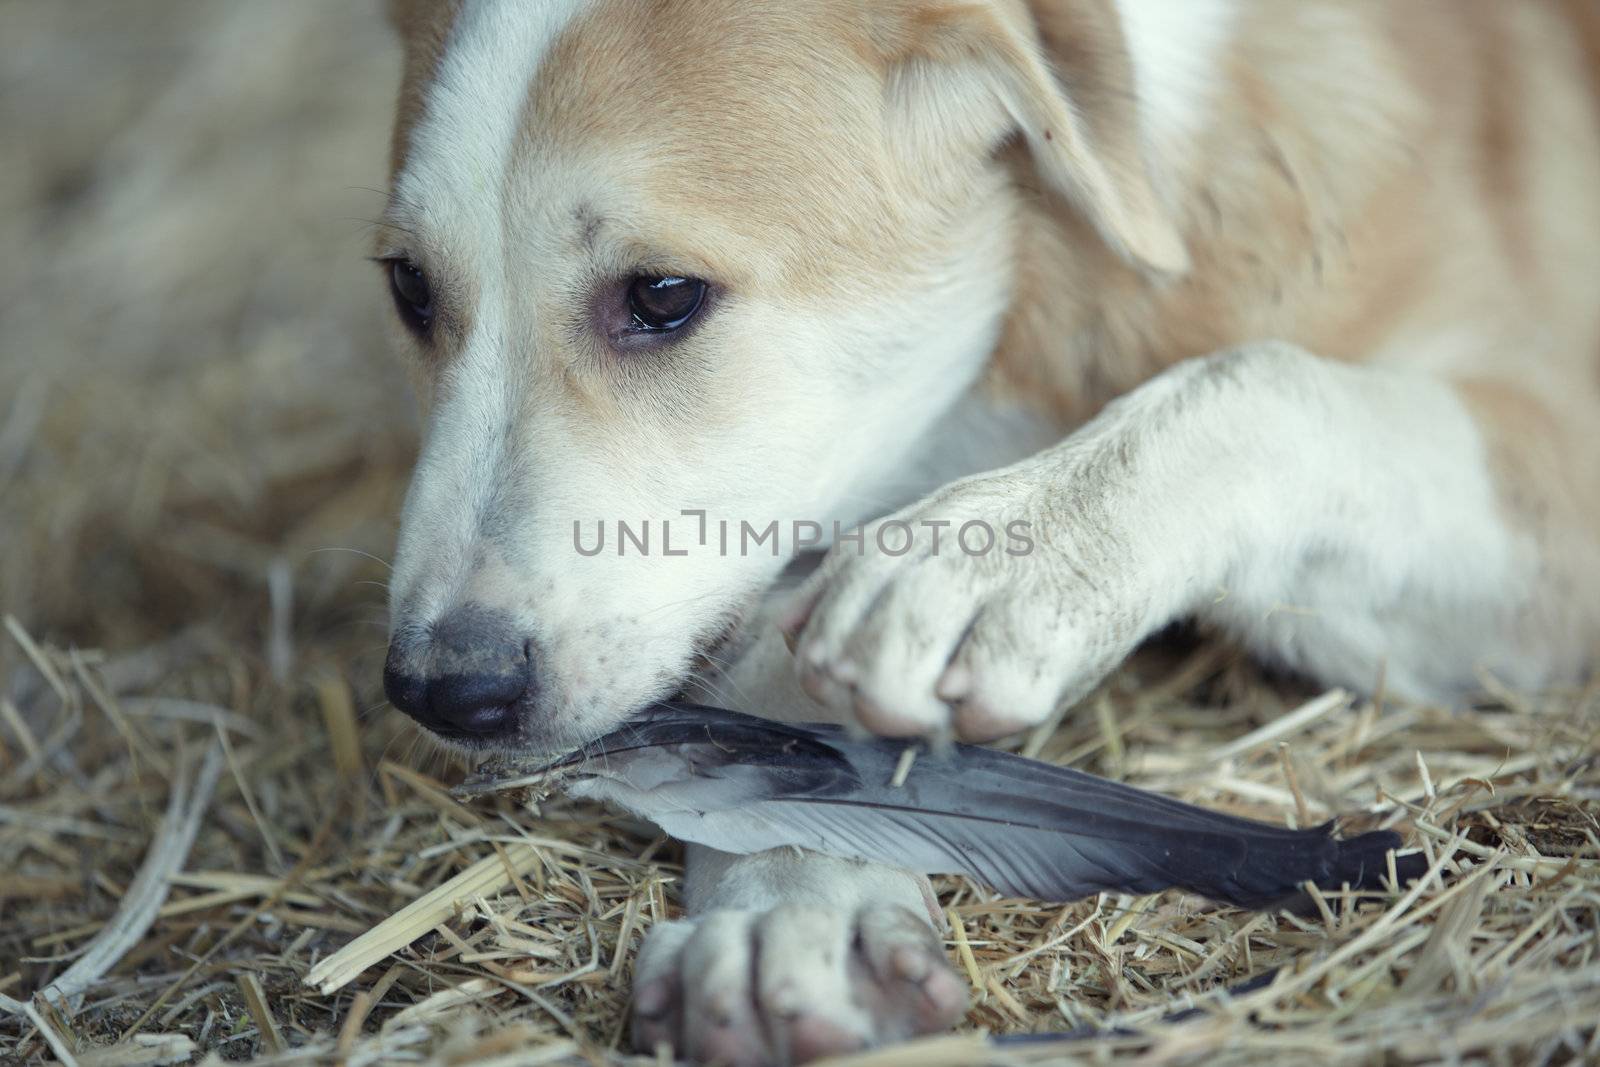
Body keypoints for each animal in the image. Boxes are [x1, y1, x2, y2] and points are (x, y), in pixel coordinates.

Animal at [377, 2, 1600, 1062]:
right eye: (406, 289)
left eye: (664, 294)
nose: (442, 689)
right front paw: (790, 897)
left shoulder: (1555, 478)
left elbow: (1260, 380)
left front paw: (1005, 549)